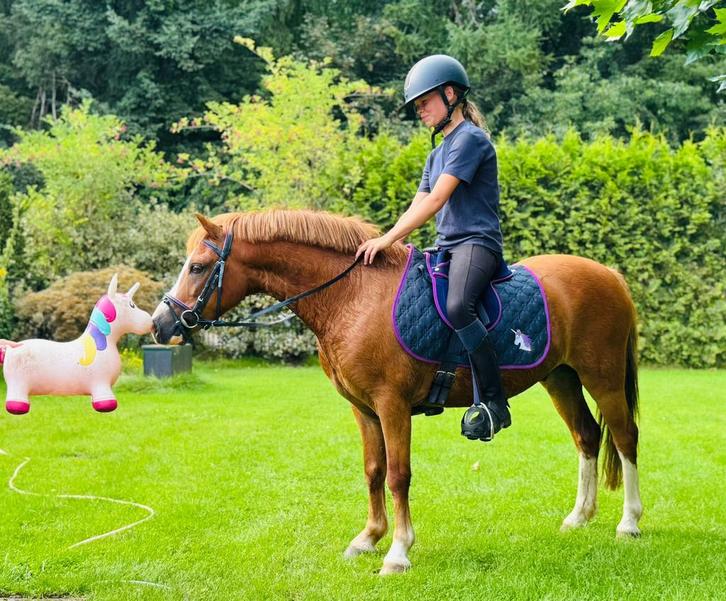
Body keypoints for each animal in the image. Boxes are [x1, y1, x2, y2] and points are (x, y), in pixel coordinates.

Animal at [151, 209, 642, 575]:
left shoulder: (392, 406)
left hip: (601, 378)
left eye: (197, 267)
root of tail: (611, 276)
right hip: (560, 378)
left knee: (624, 438)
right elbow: (373, 471)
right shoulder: (364, 410)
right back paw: (579, 517)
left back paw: (629, 523)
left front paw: (398, 551)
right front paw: (368, 538)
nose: (161, 324)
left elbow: (398, 475)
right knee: (586, 437)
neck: (353, 296)